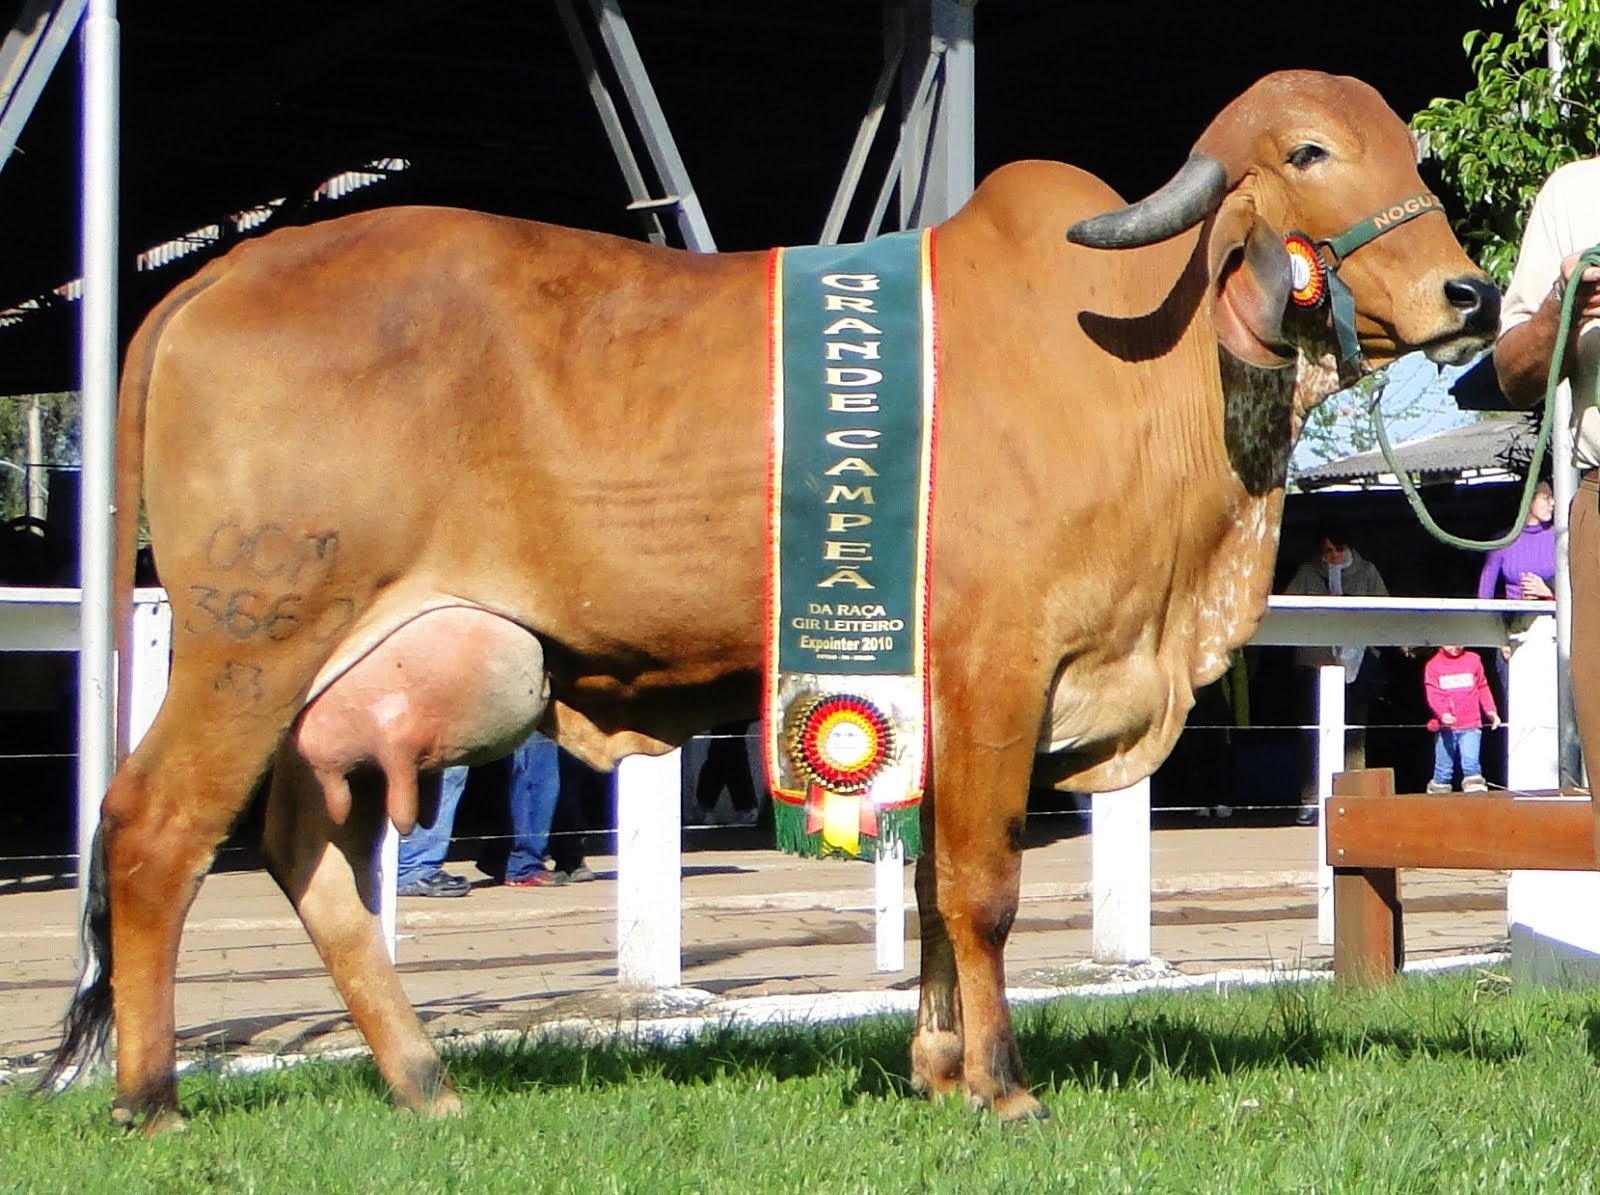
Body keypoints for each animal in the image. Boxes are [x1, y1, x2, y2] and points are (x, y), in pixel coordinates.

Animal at [43, 69, 1491, 1139]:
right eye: (1309, 148)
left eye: (1409, 147)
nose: (1468, 293)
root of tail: (218, 274)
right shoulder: (996, 663)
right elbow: (983, 887)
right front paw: (1001, 1084)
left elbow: (928, 893)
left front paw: (936, 1063)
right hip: (250, 638)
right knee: (155, 828)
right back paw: (152, 1098)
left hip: (336, 677)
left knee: (306, 851)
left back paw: (421, 1078)